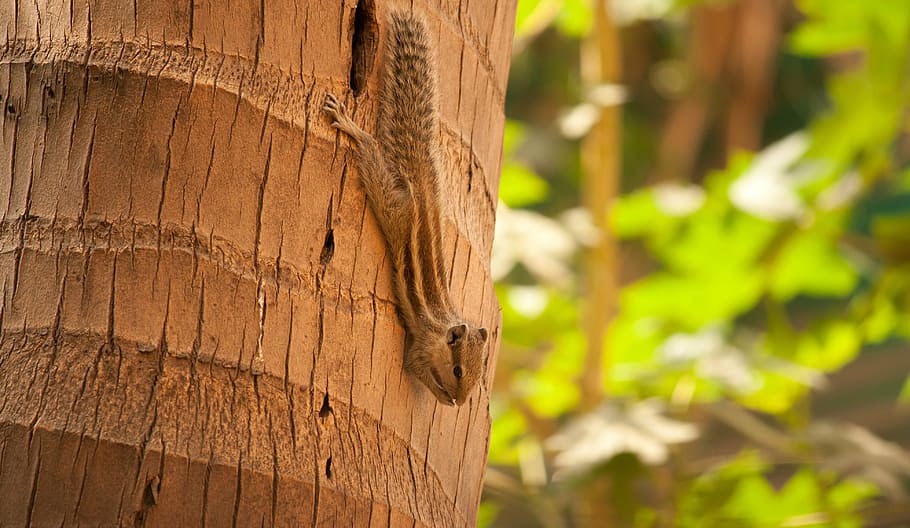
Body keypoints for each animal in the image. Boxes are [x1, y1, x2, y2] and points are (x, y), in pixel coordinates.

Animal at [323, 10, 488, 406]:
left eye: (477, 376)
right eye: (457, 371)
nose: (462, 401)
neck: (443, 326)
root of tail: (425, 192)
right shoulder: (420, 349)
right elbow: (415, 367)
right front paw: (443, 397)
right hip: (394, 206)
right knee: (371, 155)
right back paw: (353, 129)